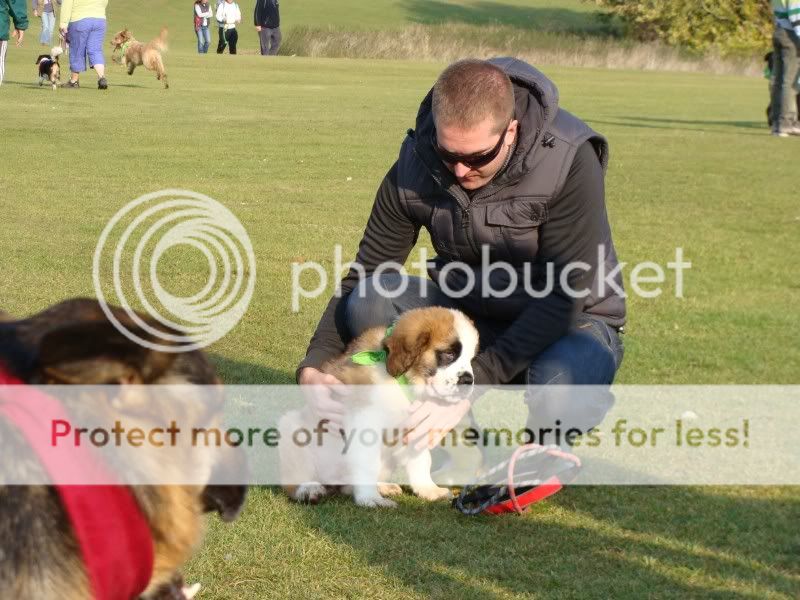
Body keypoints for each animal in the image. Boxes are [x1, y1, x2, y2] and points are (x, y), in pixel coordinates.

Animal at [282, 308, 478, 508]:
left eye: (470, 359)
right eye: (448, 354)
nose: (468, 380)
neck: (402, 381)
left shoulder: (418, 425)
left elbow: (422, 459)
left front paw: (428, 489)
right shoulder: (364, 422)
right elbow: (367, 464)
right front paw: (370, 499)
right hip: (292, 428)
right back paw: (308, 489)